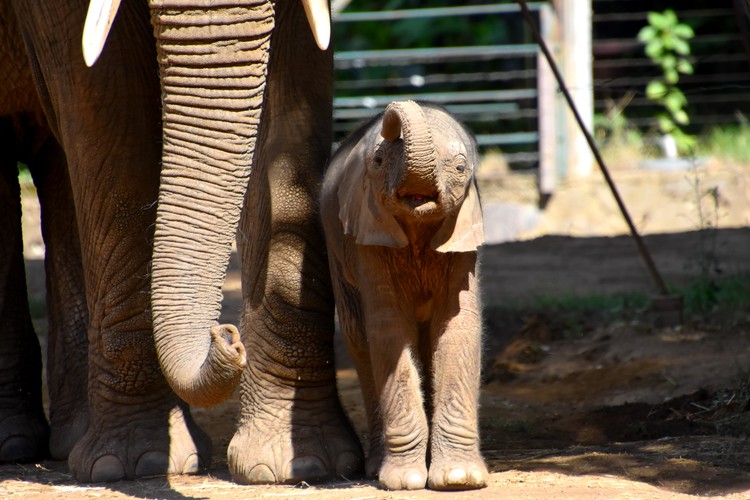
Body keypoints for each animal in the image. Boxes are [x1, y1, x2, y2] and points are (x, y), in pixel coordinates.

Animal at [0, 0, 364, 484]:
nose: (227, 336)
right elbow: (108, 106)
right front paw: (137, 464)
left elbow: (295, 93)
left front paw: (302, 465)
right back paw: (16, 443)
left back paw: (67, 439)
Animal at [322, 99, 488, 490]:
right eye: (379, 162)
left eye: (460, 167)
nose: (391, 113)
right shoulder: (367, 234)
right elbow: (389, 328)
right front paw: (403, 481)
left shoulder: (462, 234)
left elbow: (459, 324)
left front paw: (459, 479)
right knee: (359, 338)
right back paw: (376, 467)